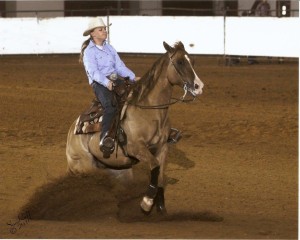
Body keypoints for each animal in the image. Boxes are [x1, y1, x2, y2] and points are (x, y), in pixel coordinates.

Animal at [65, 41, 204, 214]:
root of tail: (72, 132)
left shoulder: (162, 148)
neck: (149, 111)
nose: (199, 86)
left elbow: (160, 174)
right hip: (84, 167)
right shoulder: (136, 148)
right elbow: (154, 166)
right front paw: (147, 201)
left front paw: (160, 205)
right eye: (179, 62)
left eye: (192, 61)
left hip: (117, 169)